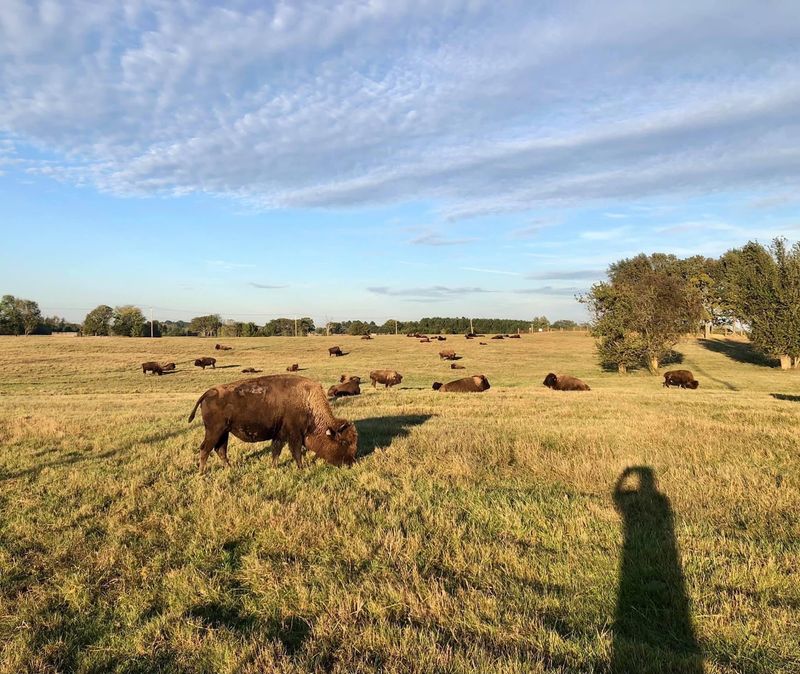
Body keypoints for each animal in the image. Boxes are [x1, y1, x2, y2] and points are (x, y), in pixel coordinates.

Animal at [188, 374, 358, 472]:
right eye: (344, 442)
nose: (350, 464)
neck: (307, 402)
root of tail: (209, 392)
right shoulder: (294, 435)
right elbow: (295, 452)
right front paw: (302, 469)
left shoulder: (280, 435)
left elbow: (276, 451)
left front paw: (274, 467)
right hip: (214, 431)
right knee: (205, 449)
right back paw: (202, 473)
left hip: (224, 432)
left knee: (220, 450)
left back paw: (230, 469)